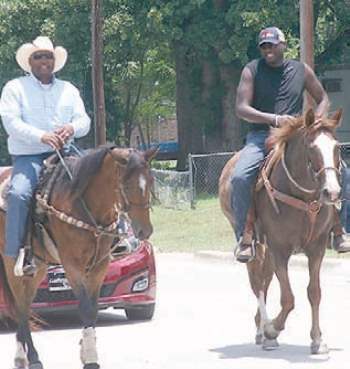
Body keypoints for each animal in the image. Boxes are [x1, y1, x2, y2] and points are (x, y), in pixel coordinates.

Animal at [0, 145, 156, 366]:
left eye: (150, 181)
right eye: (126, 185)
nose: (144, 230)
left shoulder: (100, 266)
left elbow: (93, 308)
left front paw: (86, 351)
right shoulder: (72, 265)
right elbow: (85, 307)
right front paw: (90, 357)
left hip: (38, 266)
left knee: (26, 303)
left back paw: (21, 356)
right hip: (11, 263)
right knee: (20, 305)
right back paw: (32, 357)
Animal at [220, 108, 344, 354]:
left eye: (336, 147)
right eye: (311, 147)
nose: (332, 192)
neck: (304, 198)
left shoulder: (316, 249)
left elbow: (314, 292)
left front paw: (317, 340)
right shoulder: (279, 248)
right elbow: (288, 298)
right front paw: (272, 329)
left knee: (265, 280)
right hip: (254, 243)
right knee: (257, 281)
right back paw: (263, 330)